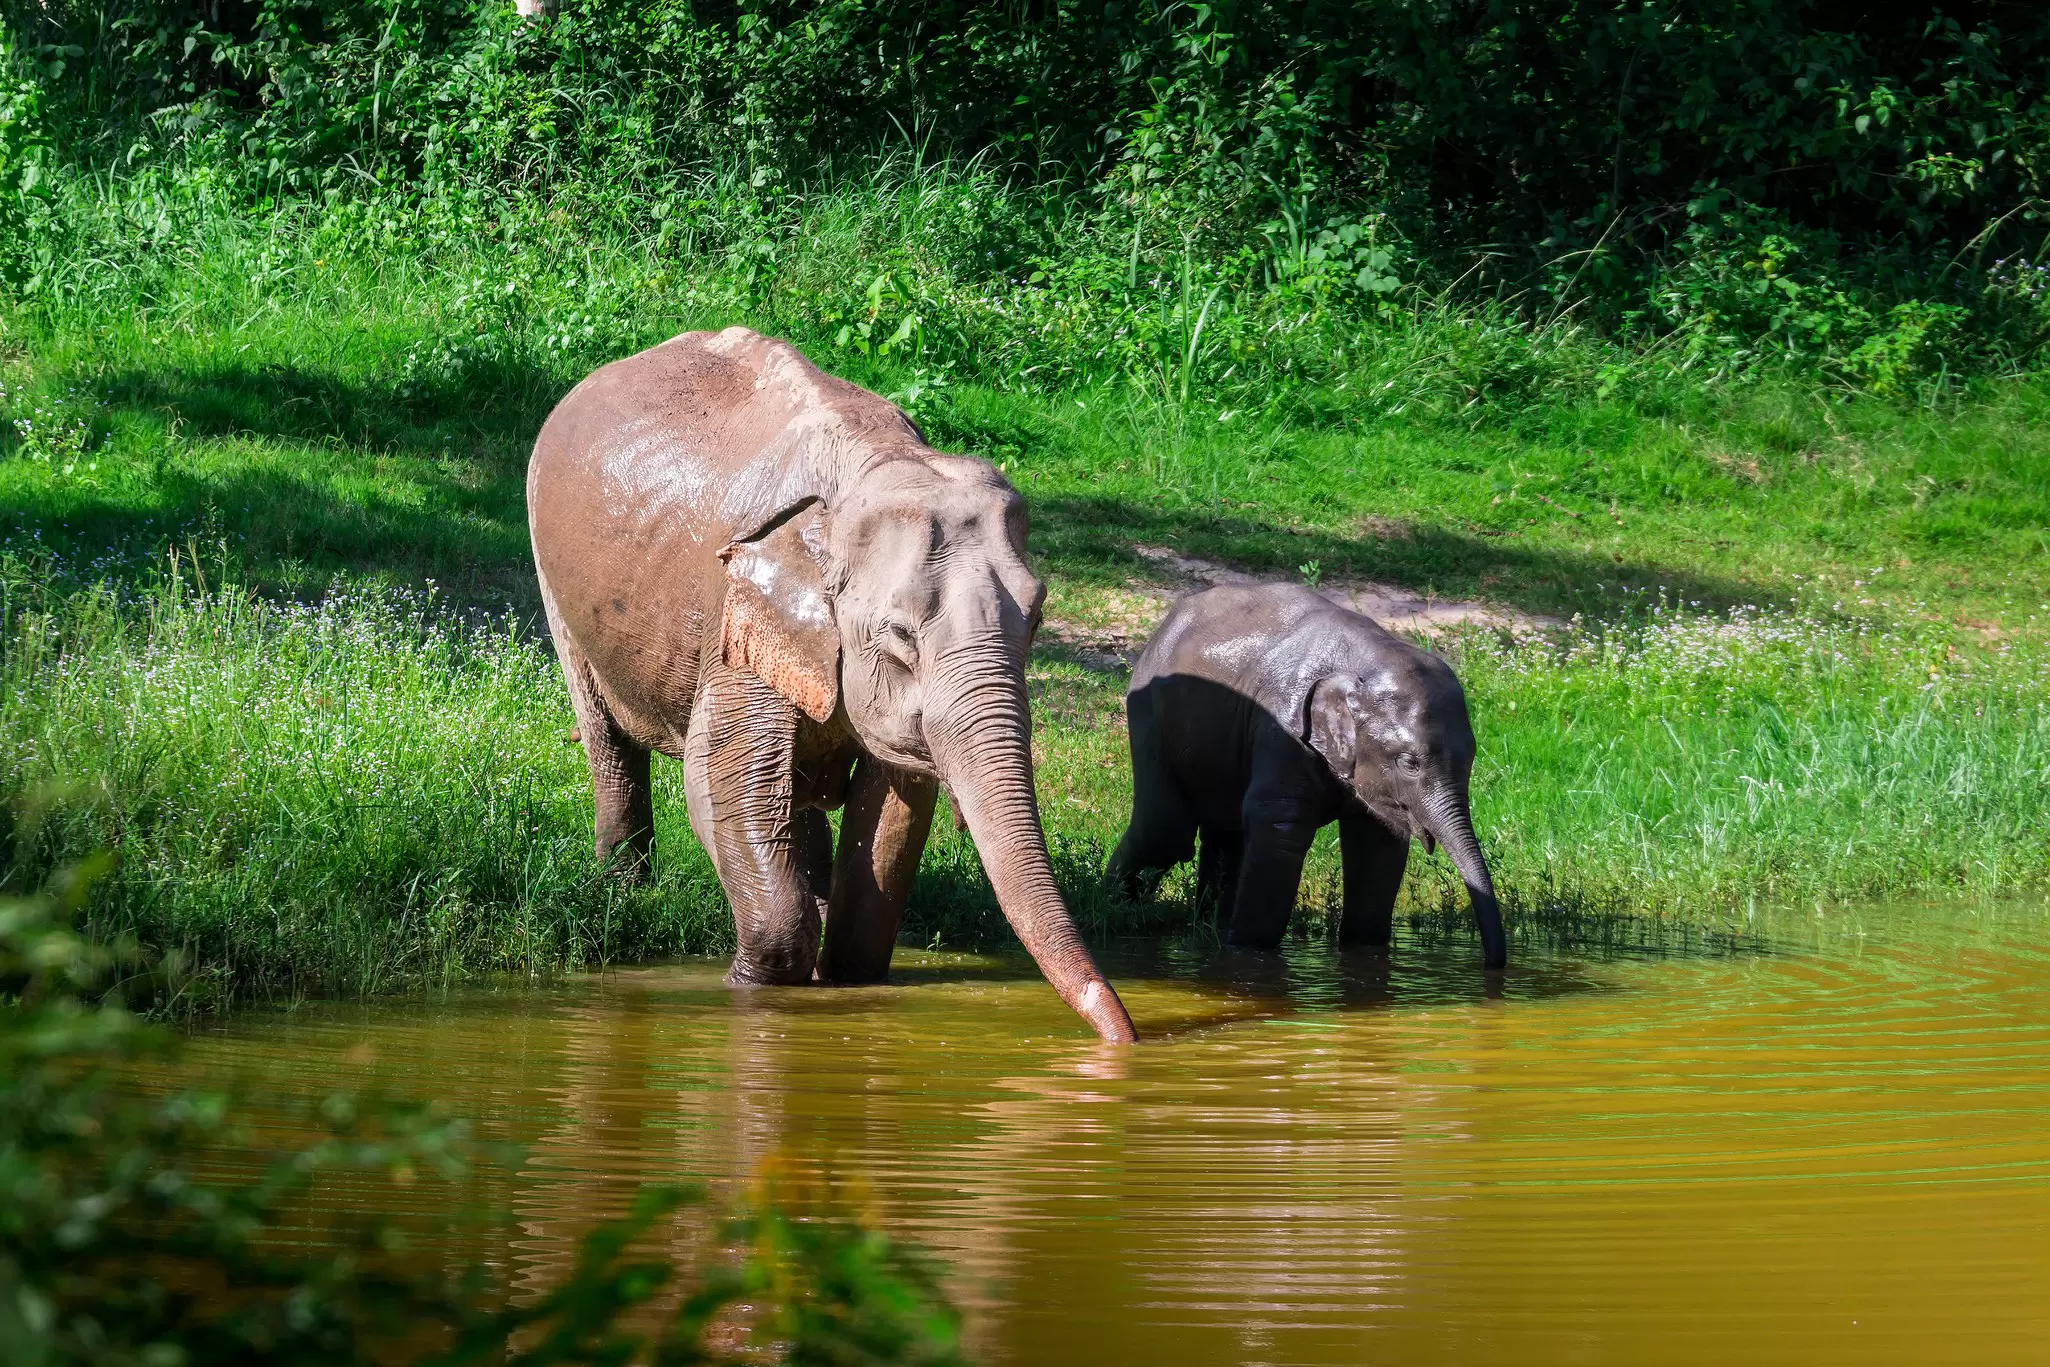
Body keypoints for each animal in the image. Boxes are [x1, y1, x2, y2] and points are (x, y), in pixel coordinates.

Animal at [527, 327, 1138, 1042]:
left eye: (1038, 618)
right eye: (899, 635)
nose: (1127, 1038)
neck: (870, 471)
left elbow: (895, 808)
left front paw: (845, 979)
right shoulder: (737, 620)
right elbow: (720, 779)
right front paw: (752, 985)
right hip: (554, 578)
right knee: (609, 739)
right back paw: (622, 892)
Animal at [1105, 583, 1506, 969]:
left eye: (1471, 759)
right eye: (1410, 763)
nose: (1492, 966)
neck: (1364, 661)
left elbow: (1379, 844)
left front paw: (1364, 953)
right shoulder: (1282, 731)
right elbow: (1280, 830)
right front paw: (1246, 953)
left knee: (1224, 835)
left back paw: (1206, 929)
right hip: (1149, 711)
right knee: (1165, 832)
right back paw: (1113, 907)